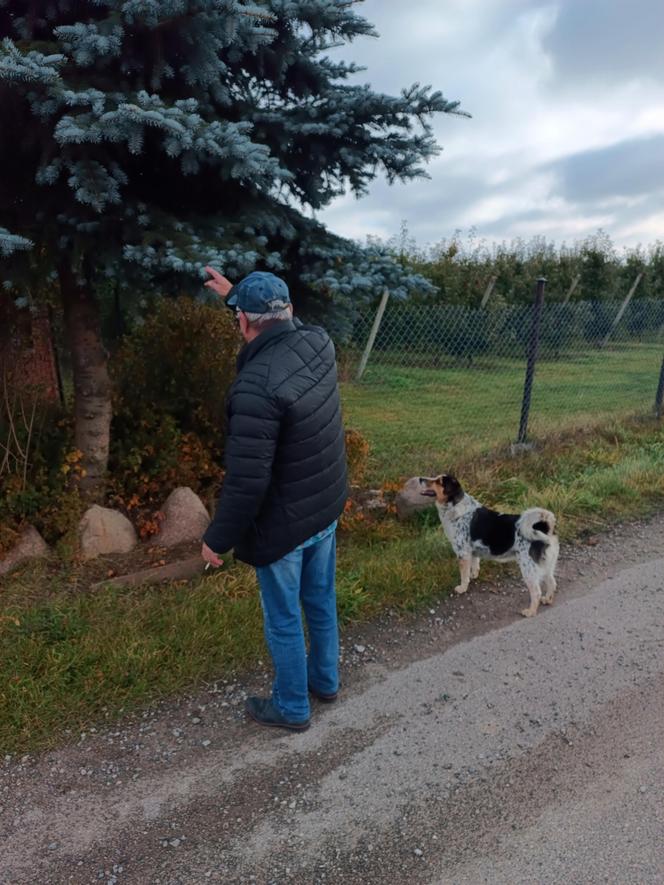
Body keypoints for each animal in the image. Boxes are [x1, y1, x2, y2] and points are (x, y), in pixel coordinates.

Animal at [422, 476, 556, 616]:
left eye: (439, 481)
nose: (421, 479)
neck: (455, 507)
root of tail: (544, 528)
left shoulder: (463, 553)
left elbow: (464, 575)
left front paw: (462, 588)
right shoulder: (472, 552)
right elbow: (474, 566)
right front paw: (473, 576)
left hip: (528, 568)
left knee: (536, 592)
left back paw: (530, 611)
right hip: (546, 565)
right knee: (552, 582)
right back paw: (547, 599)